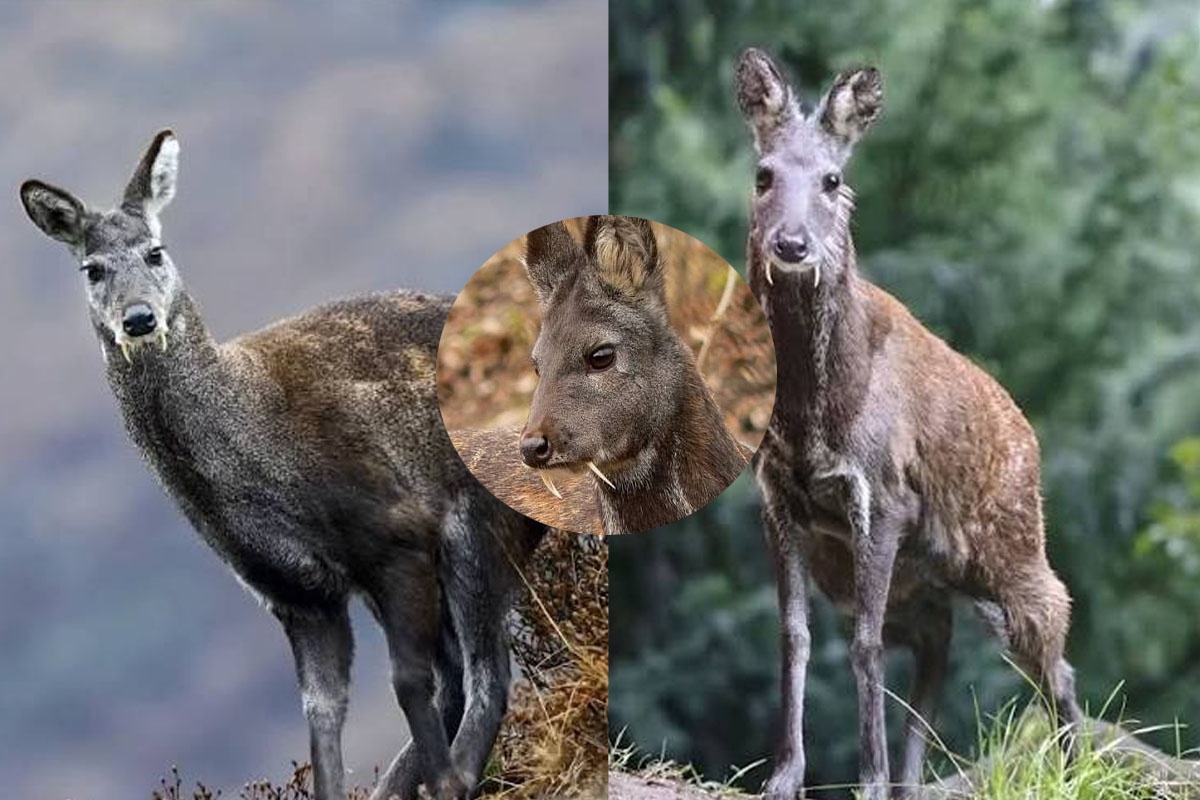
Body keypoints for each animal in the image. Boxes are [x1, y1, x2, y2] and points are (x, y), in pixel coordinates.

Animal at [19, 130, 545, 800]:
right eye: (92, 268)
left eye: (156, 252)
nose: (138, 318)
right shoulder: (296, 593)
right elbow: (322, 718)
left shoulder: (394, 532)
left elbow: (407, 681)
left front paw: (448, 781)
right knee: (462, 675)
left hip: (477, 521)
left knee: (486, 673)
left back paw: (452, 777)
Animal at [734, 50, 1083, 799]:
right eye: (763, 174)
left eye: (833, 179)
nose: (792, 244)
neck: (817, 415)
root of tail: (1028, 434)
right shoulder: (780, 499)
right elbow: (795, 638)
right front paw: (784, 776)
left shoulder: (884, 497)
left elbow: (864, 648)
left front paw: (864, 778)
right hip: (913, 577)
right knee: (935, 649)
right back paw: (910, 781)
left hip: (1011, 544)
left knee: (1054, 647)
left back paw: (1071, 772)